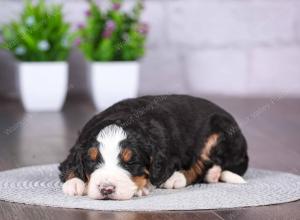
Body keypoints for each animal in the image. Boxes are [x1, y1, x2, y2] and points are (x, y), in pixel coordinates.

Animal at [58, 94, 248, 199]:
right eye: (92, 161)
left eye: (131, 163)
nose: (106, 189)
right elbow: (70, 165)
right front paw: (74, 183)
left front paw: (141, 188)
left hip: (219, 130)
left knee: (203, 163)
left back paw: (178, 178)